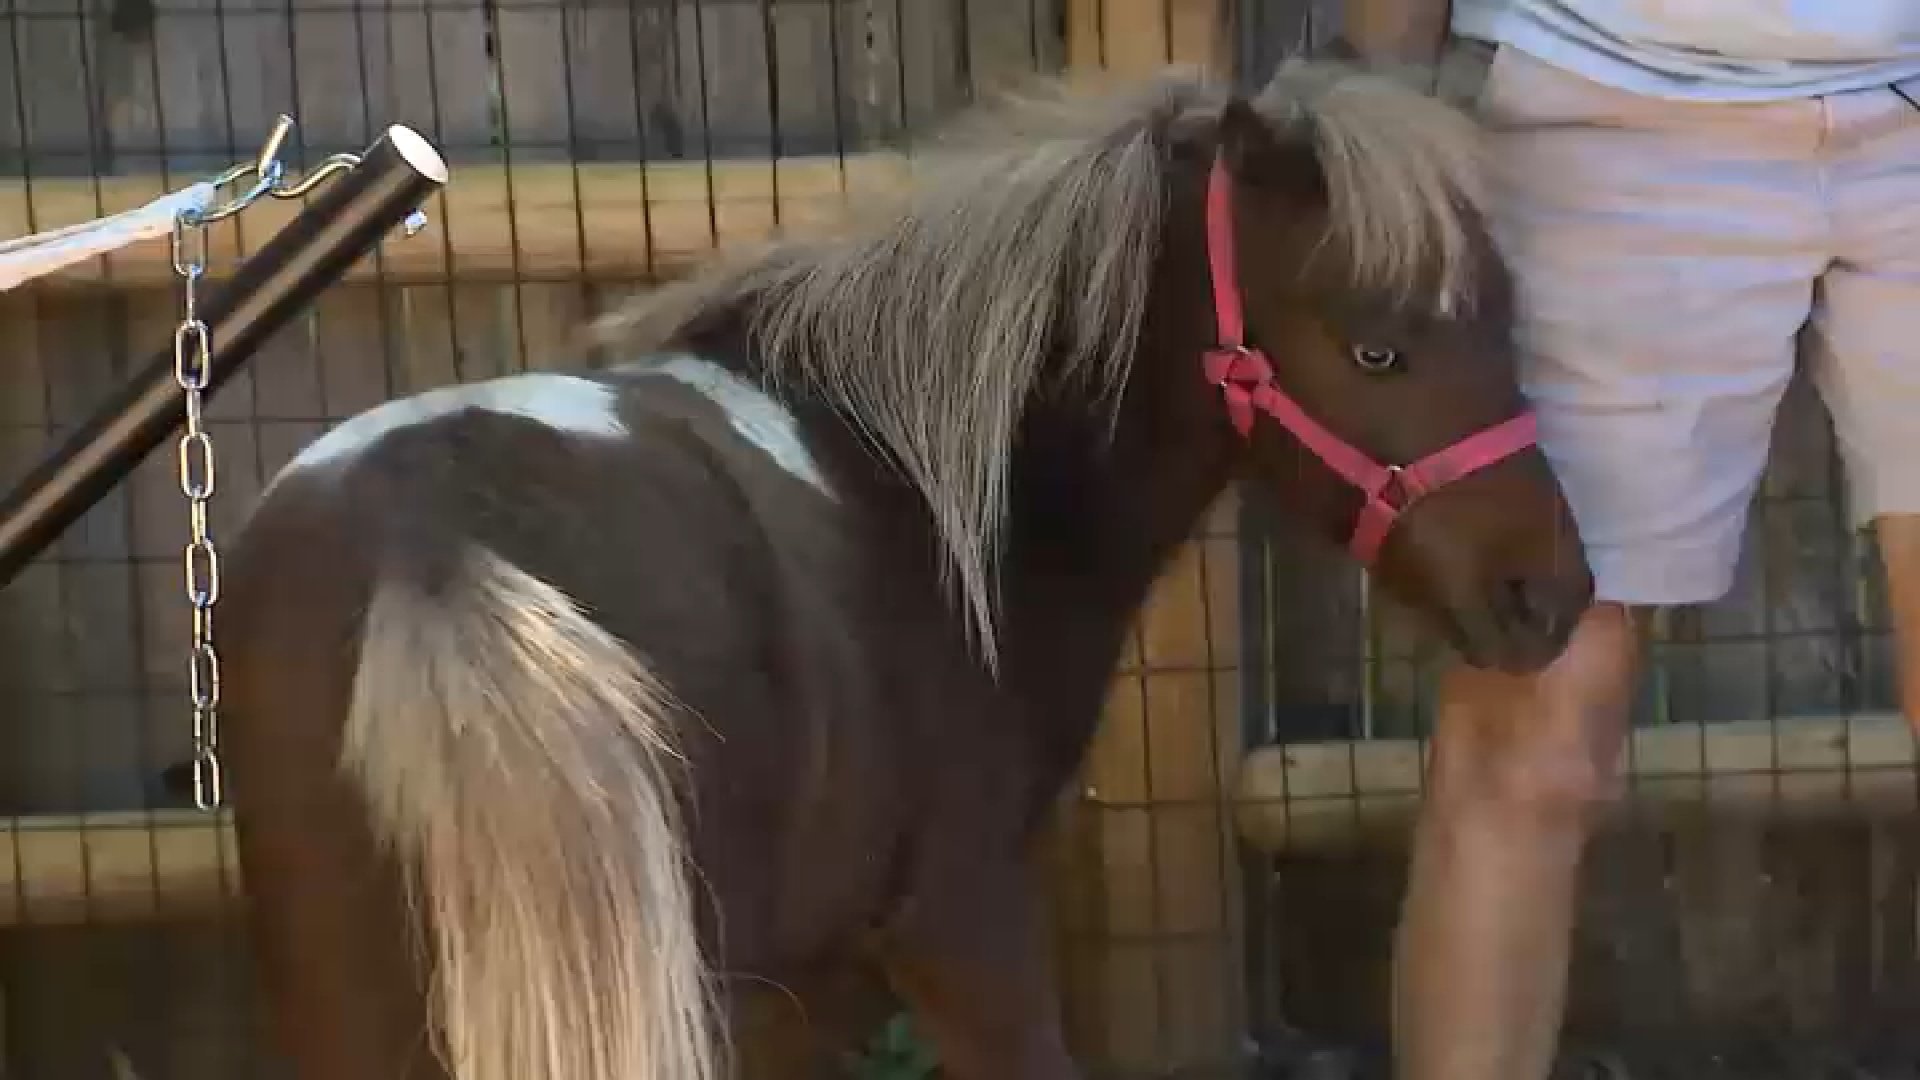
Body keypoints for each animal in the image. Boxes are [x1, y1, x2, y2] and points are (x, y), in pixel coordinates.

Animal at [217, 59, 1592, 1080]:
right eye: (1376, 350)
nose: (1550, 595)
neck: (914, 475)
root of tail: (434, 544)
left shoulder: (788, 990)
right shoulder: (963, 929)